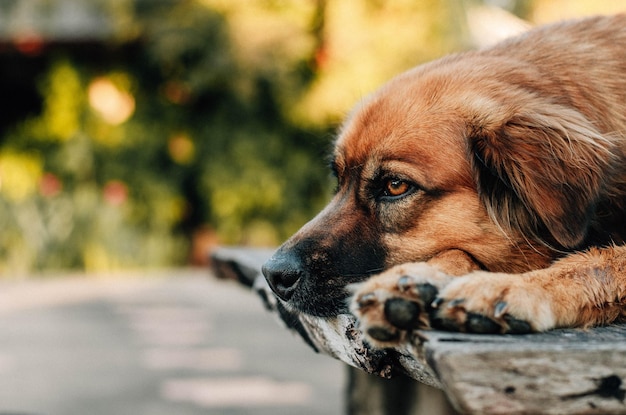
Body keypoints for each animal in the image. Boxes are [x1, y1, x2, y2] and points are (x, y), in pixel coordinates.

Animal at [260, 14, 620, 350]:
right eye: (339, 179)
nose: (273, 275)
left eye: (395, 186)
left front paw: (510, 287)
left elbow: (603, 262)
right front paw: (416, 280)